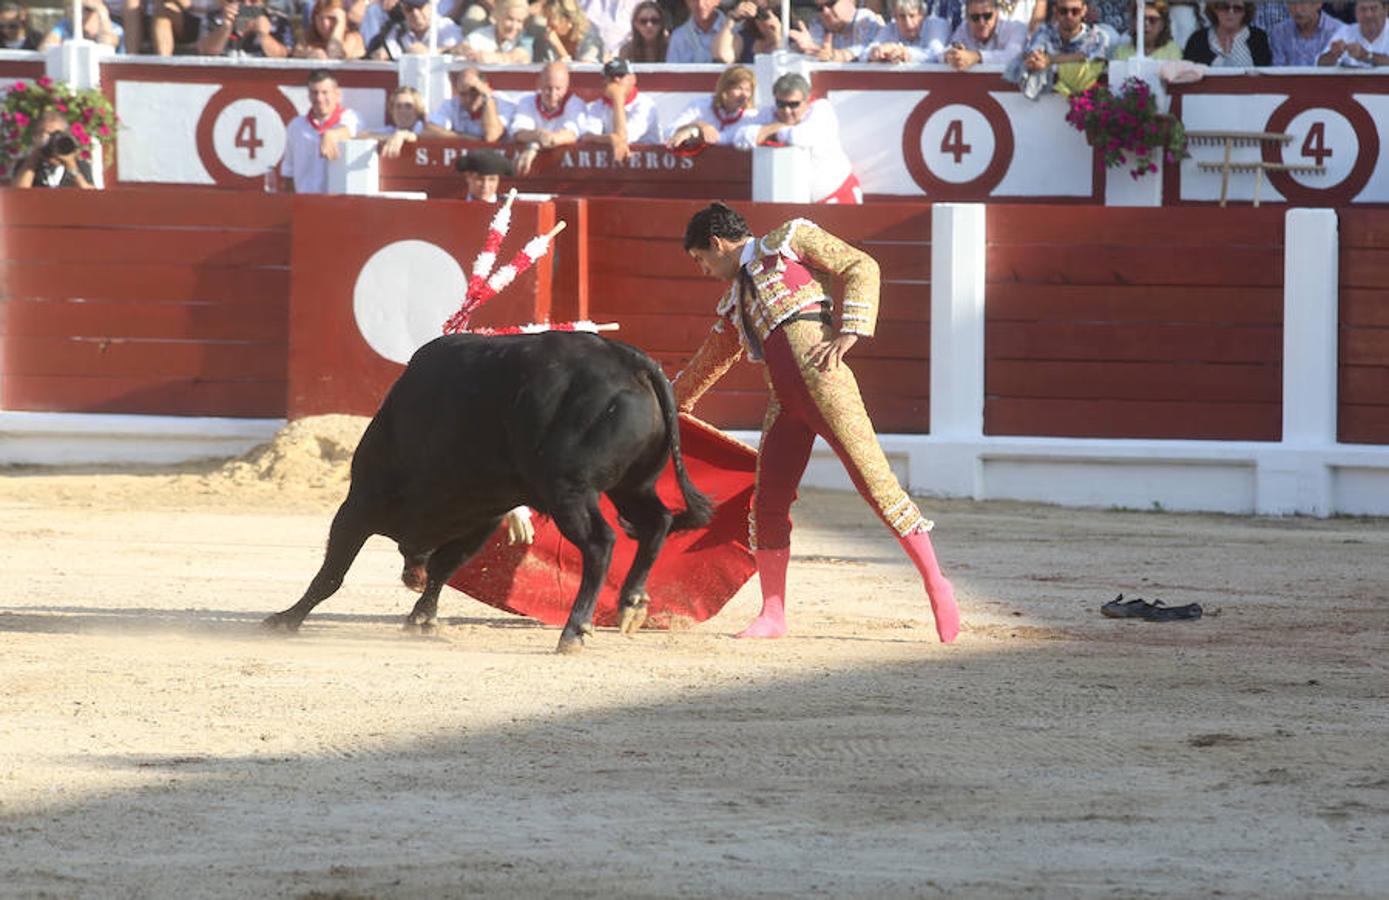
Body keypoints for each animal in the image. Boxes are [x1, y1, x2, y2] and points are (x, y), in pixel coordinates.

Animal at [262, 330, 716, 652]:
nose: (411, 575)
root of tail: (629, 359)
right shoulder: (483, 517)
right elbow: (445, 566)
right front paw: (422, 617)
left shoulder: (359, 504)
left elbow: (332, 573)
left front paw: (286, 618)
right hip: (633, 484)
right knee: (657, 521)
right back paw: (631, 604)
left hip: (569, 489)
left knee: (601, 542)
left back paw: (574, 630)